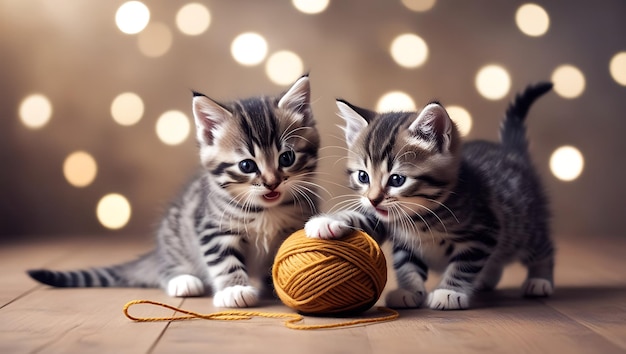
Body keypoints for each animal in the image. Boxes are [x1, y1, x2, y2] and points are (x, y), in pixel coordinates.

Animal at [26, 74, 320, 306]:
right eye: (247, 165)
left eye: (286, 158)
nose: (272, 182)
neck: (265, 210)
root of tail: (157, 253)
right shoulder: (211, 226)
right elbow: (223, 259)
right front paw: (234, 289)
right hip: (175, 234)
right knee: (167, 268)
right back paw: (183, 280)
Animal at [304, 82, 552, 310]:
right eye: (363, 176)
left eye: (397, 180)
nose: (373, 199)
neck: (421, 217)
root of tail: (511, 151)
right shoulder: (389, 226)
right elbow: (404, 262)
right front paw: (327, 222)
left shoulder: (484, 230)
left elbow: (464, 265)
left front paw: (449, 292)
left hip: (526, 225)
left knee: (541, 247)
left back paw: (540, 280)